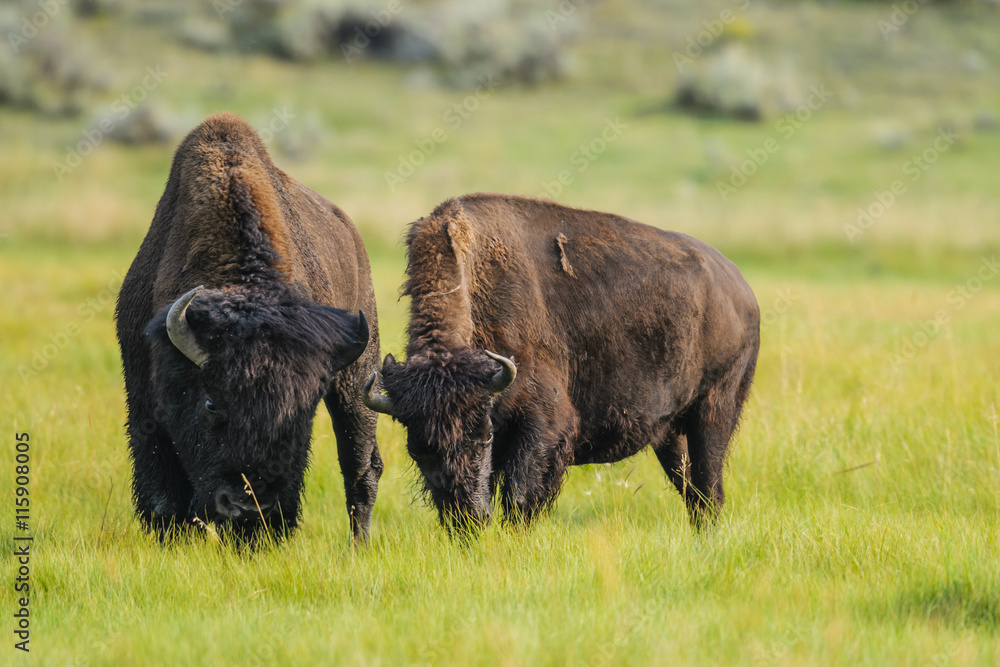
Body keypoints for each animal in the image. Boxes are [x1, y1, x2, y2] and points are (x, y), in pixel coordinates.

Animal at [115, 113, 384, 544]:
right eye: (211, 402)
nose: (247, 506)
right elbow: (162, 490)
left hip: (358, 379)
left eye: (303, 410)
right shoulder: (142, 392)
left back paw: (357, 545)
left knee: (360, 467)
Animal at [364, 193, 760, 532]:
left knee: (708, 489)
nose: (468, 519)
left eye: (485, 433)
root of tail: (741, 291)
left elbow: (521, 499)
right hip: (671, 433)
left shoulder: (545, 424)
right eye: (417, 448)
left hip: (715, 410)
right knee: (691, 490)